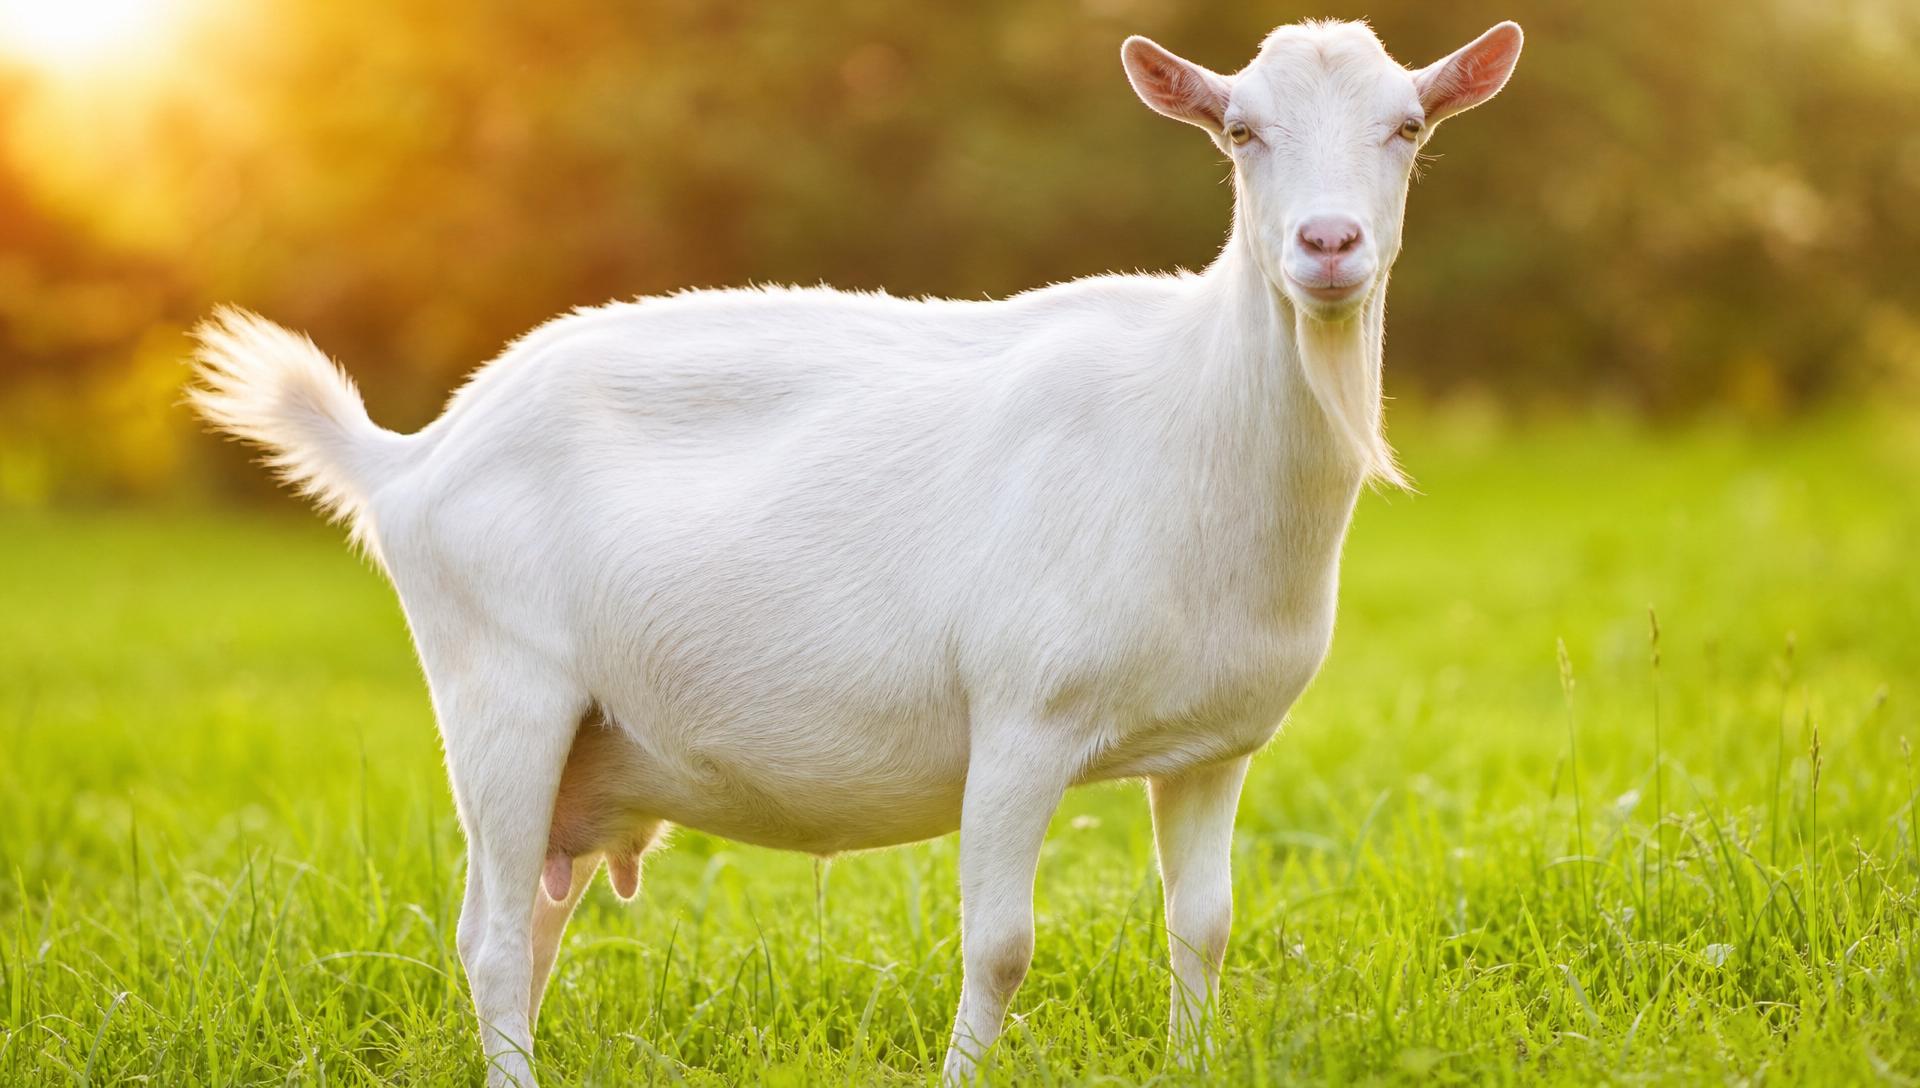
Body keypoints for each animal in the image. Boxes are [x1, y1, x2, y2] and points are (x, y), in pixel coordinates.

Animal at [188, 18, 1521, 1085]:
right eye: (1241, 131)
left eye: (1407, 126)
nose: (1329, 243)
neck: (1192, 414)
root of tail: (412, 460)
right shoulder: (1022, 717)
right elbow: (1002, 943)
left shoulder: (1214, 747)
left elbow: (1205, 922)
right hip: (500, 688)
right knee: (491, 935)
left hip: (576, 744)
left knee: (533, 923)